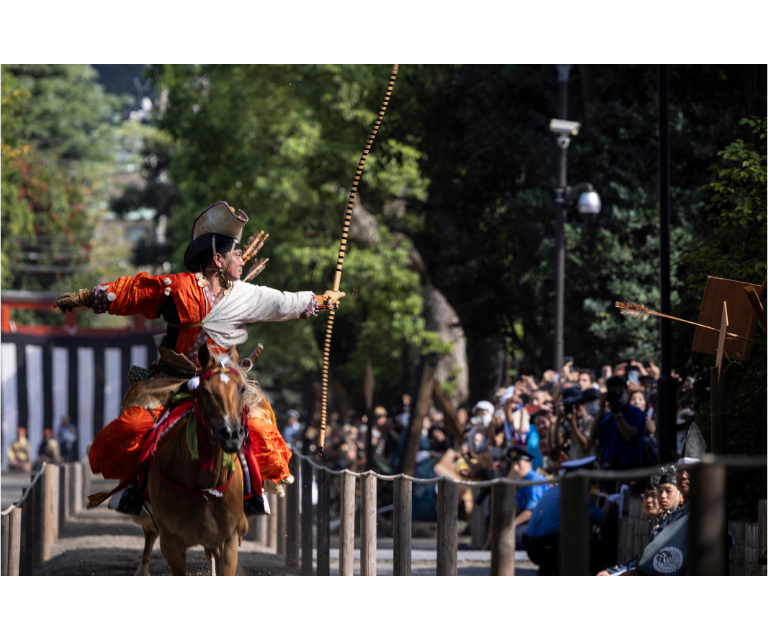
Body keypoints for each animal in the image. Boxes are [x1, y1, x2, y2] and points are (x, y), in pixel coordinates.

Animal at [132, 344, 249, 576]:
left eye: (241, 389)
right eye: (205, 391)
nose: (232, 434)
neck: (205, 484)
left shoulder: (229, 541)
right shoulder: (171, 541)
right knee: (150, 532)